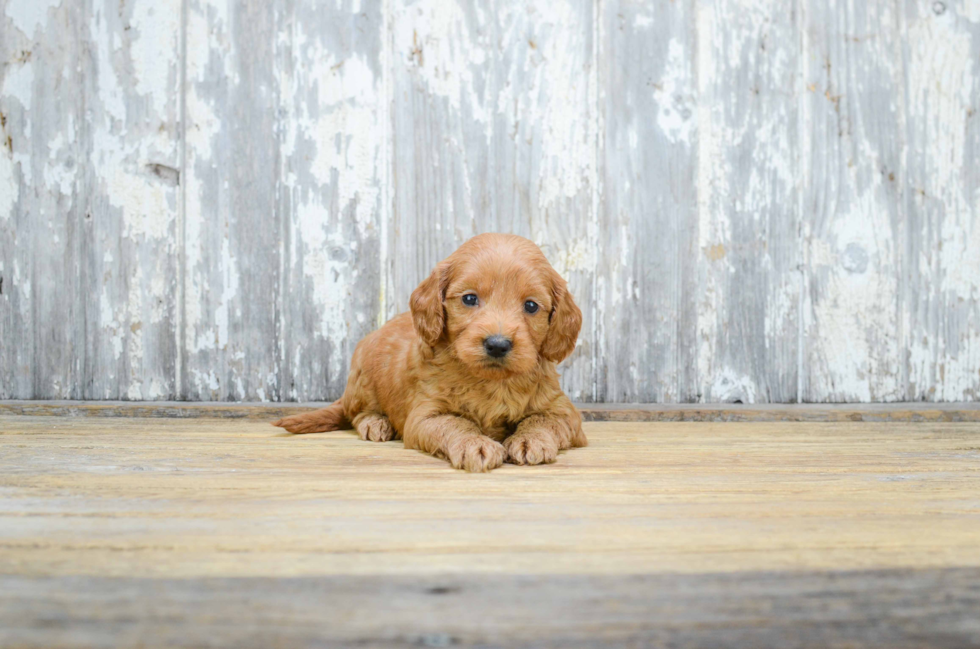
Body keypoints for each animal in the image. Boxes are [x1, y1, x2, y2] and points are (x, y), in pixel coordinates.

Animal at [272, 233, 584, 470]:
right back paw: (376, 423)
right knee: (358, 412)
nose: (497, 344)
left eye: (531, 306)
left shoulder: (564, 411)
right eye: (469, 299)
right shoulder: (425, 415)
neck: (491, 381)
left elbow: (542, 419)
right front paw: (475, 444)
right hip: (363, 377)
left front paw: (532, 439)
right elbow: (453, 423)